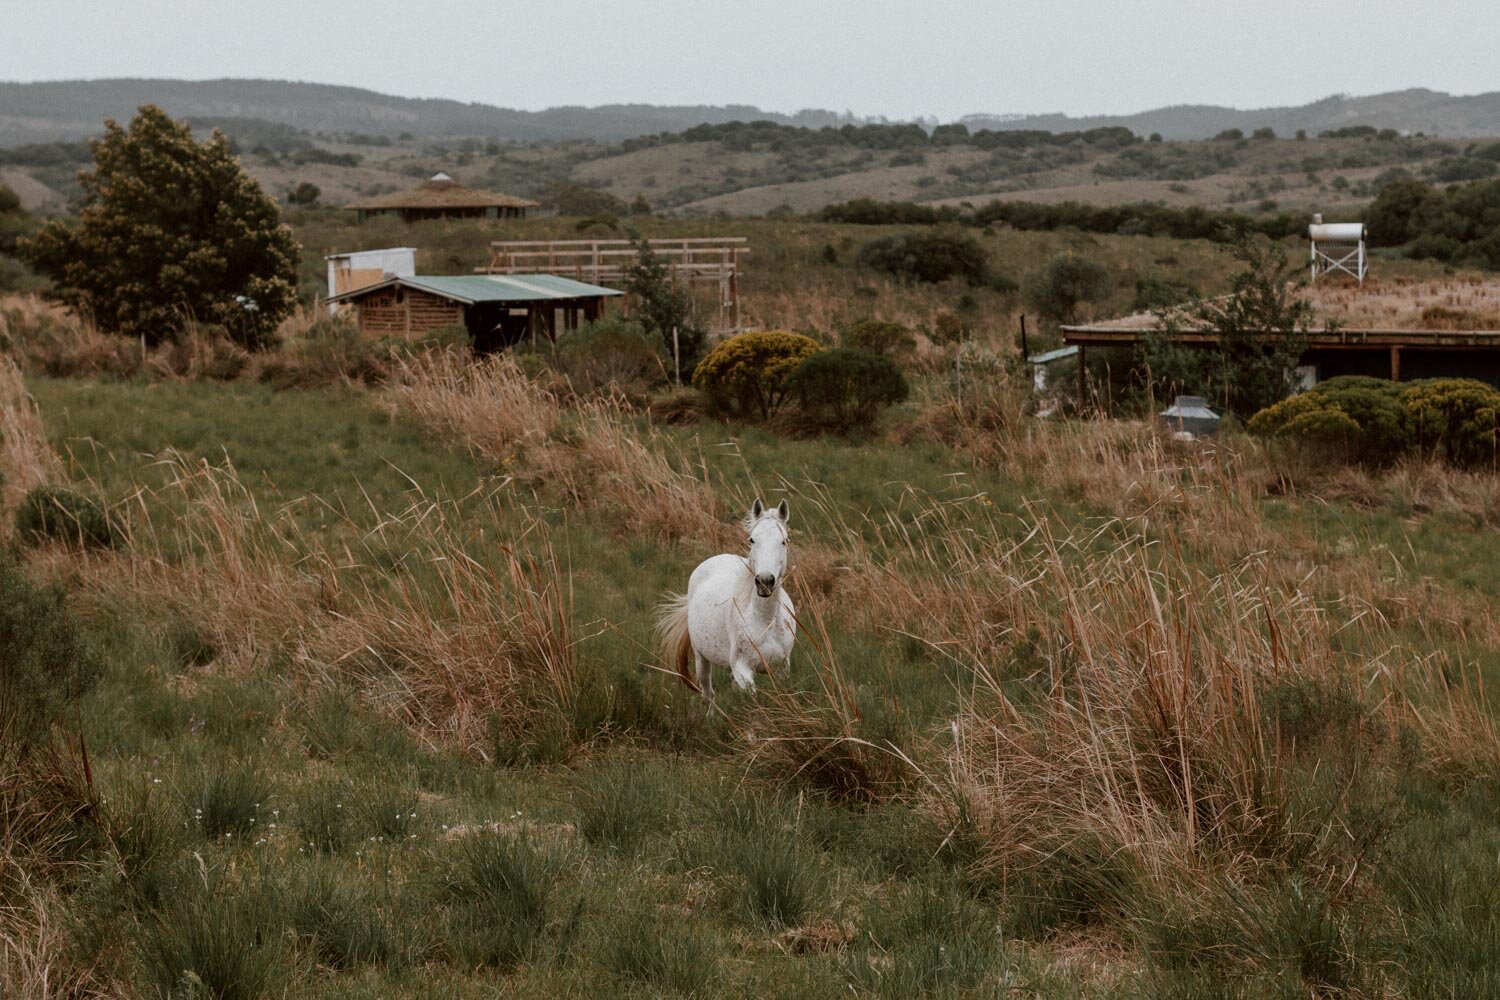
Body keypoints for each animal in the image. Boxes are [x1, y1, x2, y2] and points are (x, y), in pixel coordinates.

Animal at [657, 497, 798, 707]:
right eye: (752, 540)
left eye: (784, 541)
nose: (765, 582)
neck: (765, 621)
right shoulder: (743, 671)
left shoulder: (782, 668)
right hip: (701, 659)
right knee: (708, 695)